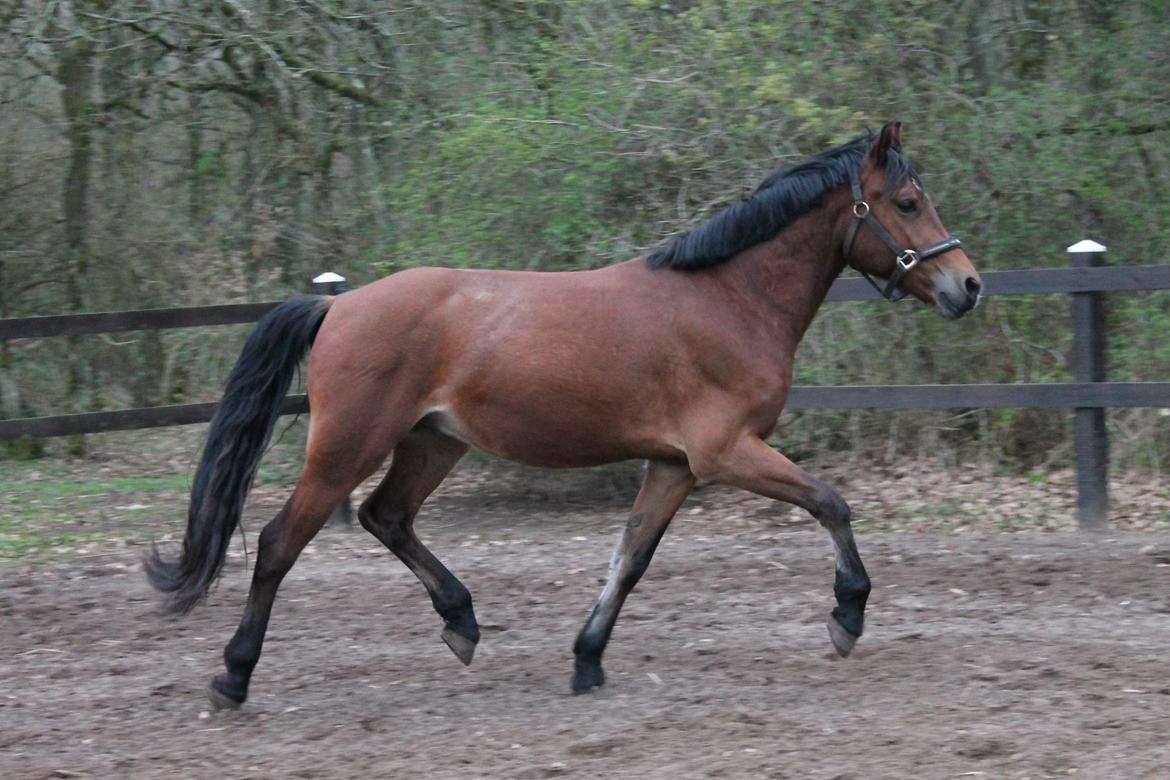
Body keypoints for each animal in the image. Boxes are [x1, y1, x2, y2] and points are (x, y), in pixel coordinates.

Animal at [146, 120, 978, 706]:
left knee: (388, 517)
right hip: (346, 448)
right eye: (907, 201)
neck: (729, 298)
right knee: (279, 543)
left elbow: (630, 559)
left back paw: (461, 623)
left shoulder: (673, 465)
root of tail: (337, 305)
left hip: (432, 444)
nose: (966, 286)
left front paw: (587, 659)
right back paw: (233, 677)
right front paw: (848, 616)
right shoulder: (724, 452)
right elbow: (832, 503)